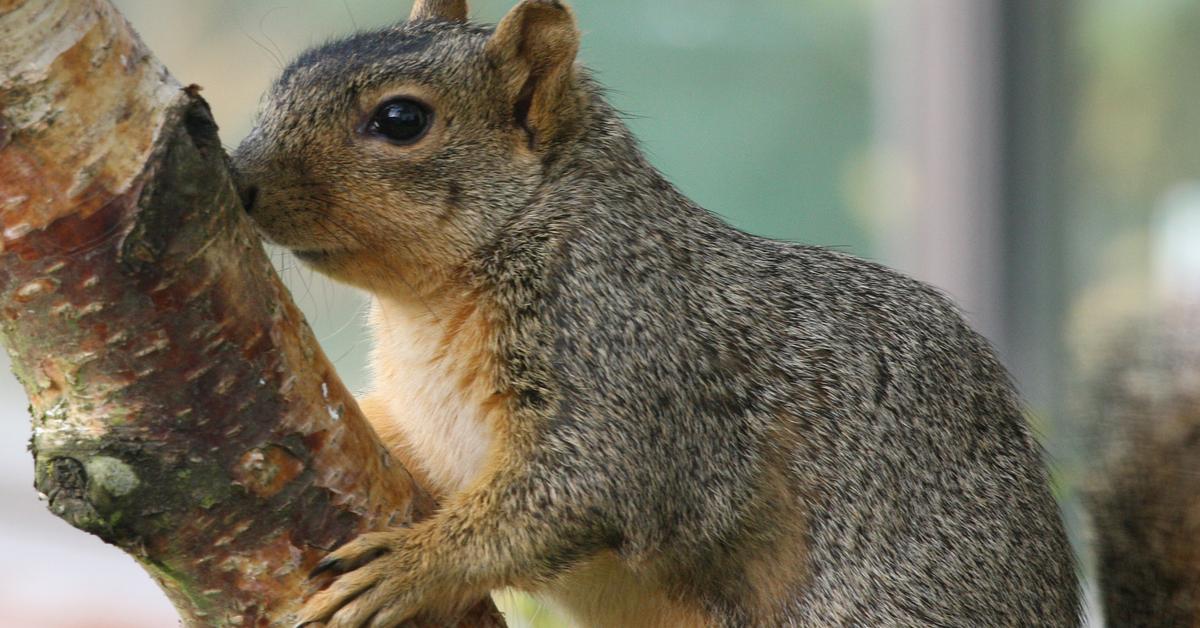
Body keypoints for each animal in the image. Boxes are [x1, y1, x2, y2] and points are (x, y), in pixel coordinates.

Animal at [231, 1, 1080, 628]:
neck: (425, 309)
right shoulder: (420, 425)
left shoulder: (630, 361)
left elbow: (575, 490)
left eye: (402, 120)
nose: (239, 178)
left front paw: (414, 564)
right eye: (280, 84)